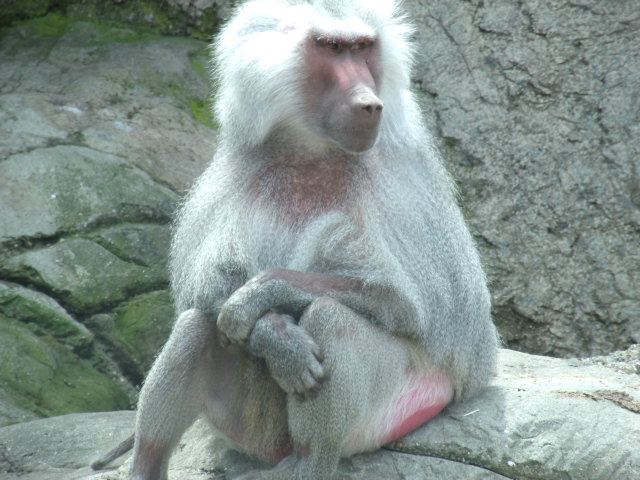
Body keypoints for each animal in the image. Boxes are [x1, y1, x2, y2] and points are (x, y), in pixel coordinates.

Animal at [126, 1, 499, 479]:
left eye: (363, 47)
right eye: (331, 47)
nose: (369, 104)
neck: (313, 150)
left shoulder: (399, 185)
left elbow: (406, 305)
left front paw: (260, 297)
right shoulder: (236, 172)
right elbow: (206, 290)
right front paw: (278, 340)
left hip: (398, 406)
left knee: (329, 315)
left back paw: (308, 460)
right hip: (242, 428)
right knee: (195, 324)